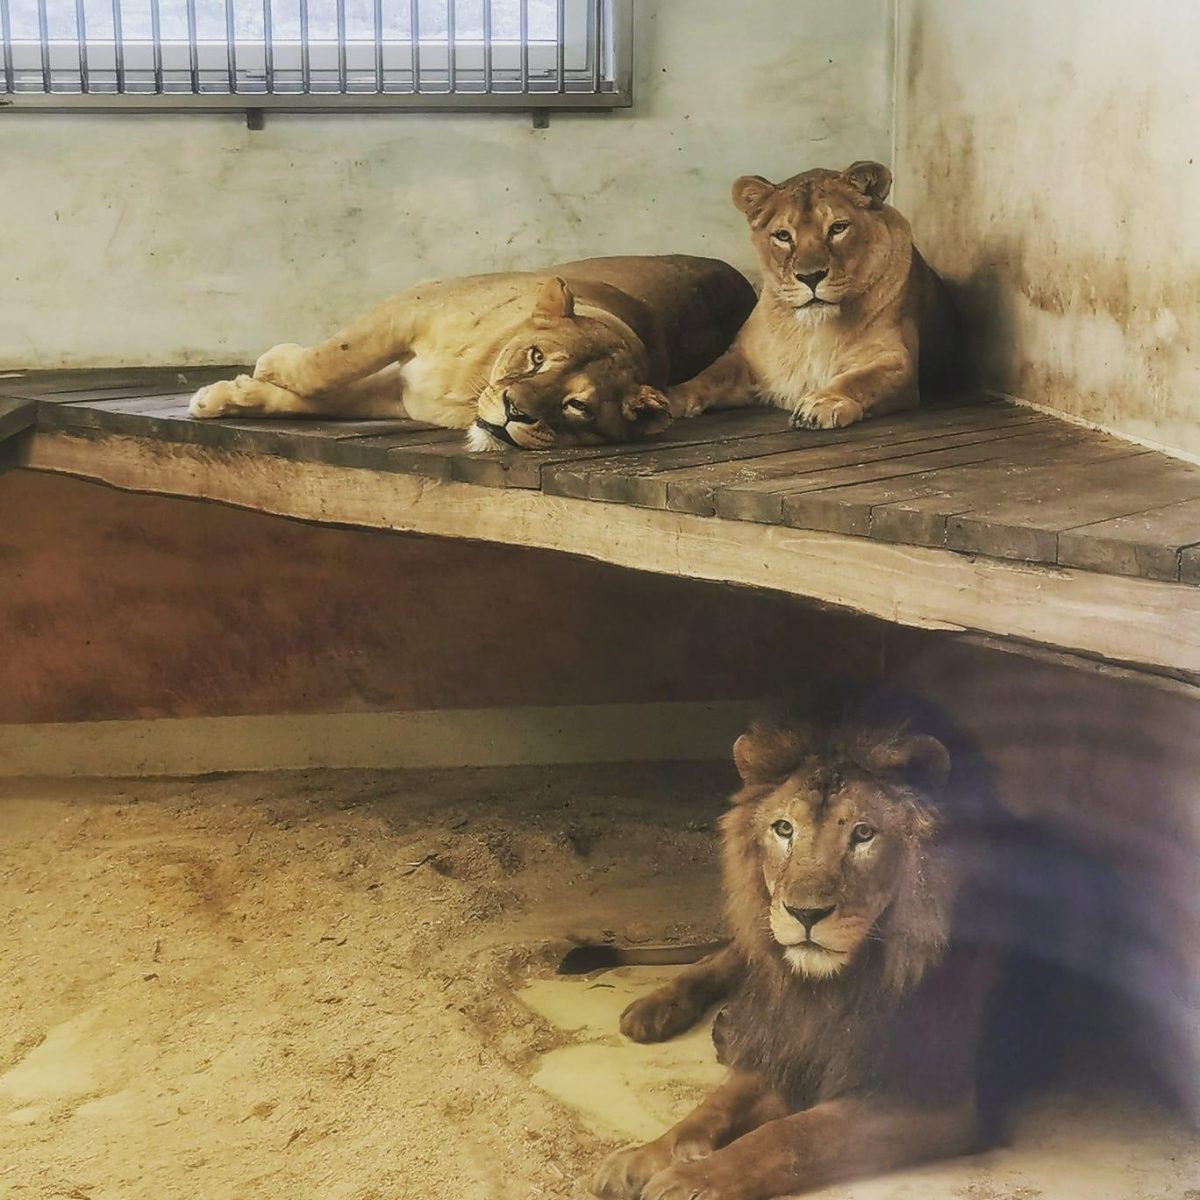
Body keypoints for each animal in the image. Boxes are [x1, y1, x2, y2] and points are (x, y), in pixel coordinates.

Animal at [186, 258, 748, 451]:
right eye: (537, 358)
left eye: (578, 407)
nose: (515, 413)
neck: (469, 384)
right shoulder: (412, 308)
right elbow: (329, 365)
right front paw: (245, 383)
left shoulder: (402, 397)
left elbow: (315, 391)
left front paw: (242, 385)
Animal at [592, 700, 1003, 1200]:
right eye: (784, 829)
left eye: (863, 834)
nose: (805, 913)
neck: (834, 988)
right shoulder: (793, 1050)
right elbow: (714, 1105)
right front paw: (640, 1159)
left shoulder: (928, 1096)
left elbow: (788, 1138)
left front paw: (691, 1180)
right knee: (726, 957)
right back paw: (659, 1009)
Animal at [667, 164, 955, 432]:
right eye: (783, 236)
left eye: (838, 228)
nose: (811, 277)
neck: (812, 327)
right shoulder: (747, 359)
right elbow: (711, 374)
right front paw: (672, 399)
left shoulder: (895, 359)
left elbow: (859, 380)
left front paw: (823, 402)